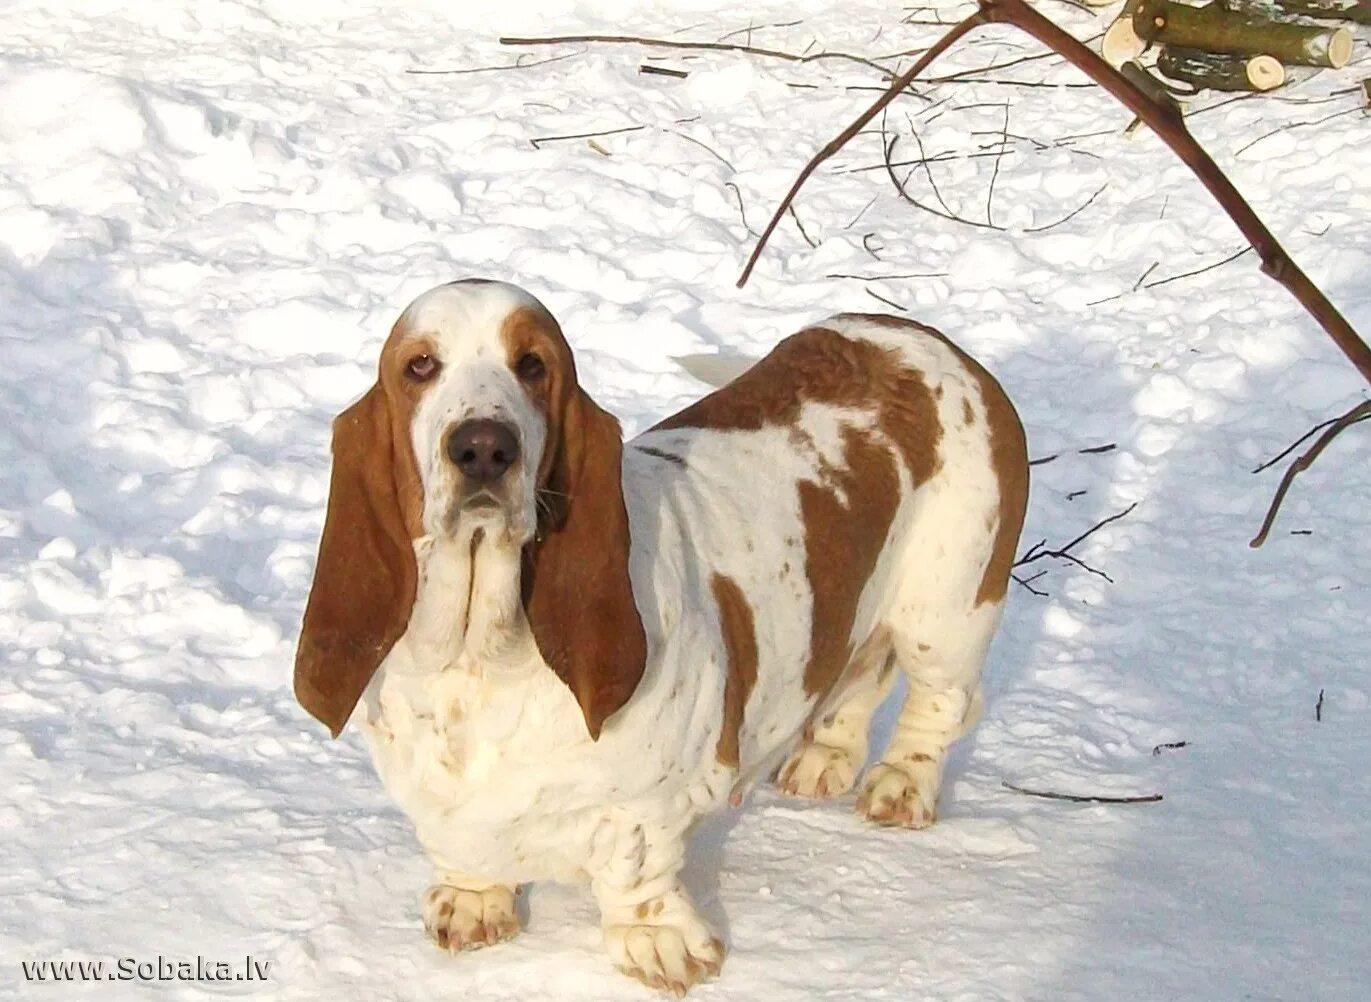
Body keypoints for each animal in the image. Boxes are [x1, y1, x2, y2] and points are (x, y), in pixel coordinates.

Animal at [297, 279, 1030, 997]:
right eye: (420, 366)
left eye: (532, 365)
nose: (482, 447)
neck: (479, 653)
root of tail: (918, 335)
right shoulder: (437, 794)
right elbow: (460, 844)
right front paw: (474, 900)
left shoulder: (645, 802)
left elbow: (635, 865)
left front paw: (658, 941)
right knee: (858, 676)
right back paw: (824, 759)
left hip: (946, 615)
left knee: (940, 705)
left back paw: (899, 788)